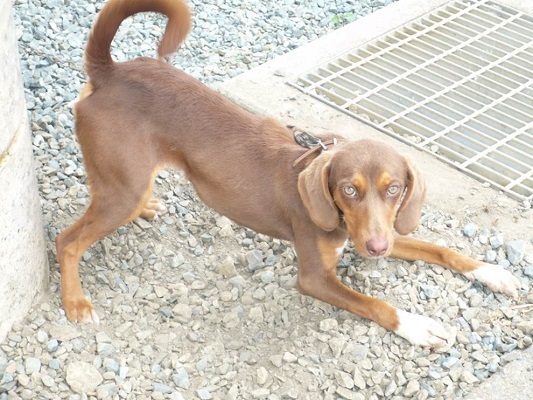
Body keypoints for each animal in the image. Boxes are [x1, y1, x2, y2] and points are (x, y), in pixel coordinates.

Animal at [56, 0, 521, 348]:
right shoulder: (315, 277)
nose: (375, 248)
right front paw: (417, 325)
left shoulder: (383, 232)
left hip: (129, 182)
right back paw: (75, 302)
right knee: (67, 240)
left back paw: (148, 209)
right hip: (122, 187)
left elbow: (441, 250)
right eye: (348, 190)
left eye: (395, 190)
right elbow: (375, 304)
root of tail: (109, 72)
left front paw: (491, 272)